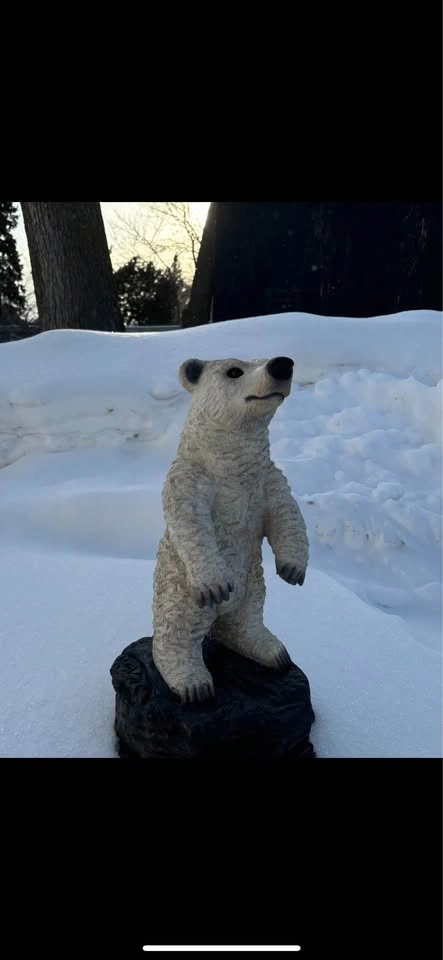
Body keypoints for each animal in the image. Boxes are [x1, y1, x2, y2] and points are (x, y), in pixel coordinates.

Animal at [152, 355, 309, 703]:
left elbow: (287, 511)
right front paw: (215, 584)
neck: (232, 467)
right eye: (234, 371)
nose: (282, 364)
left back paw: (273, 652)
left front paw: (293, 568)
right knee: (178, 627)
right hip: (179, 586)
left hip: (251, 581)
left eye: (264, 359)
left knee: (247, 615)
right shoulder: (190, 477)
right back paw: (193, 684)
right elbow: (190, 521)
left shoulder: (267, 478)